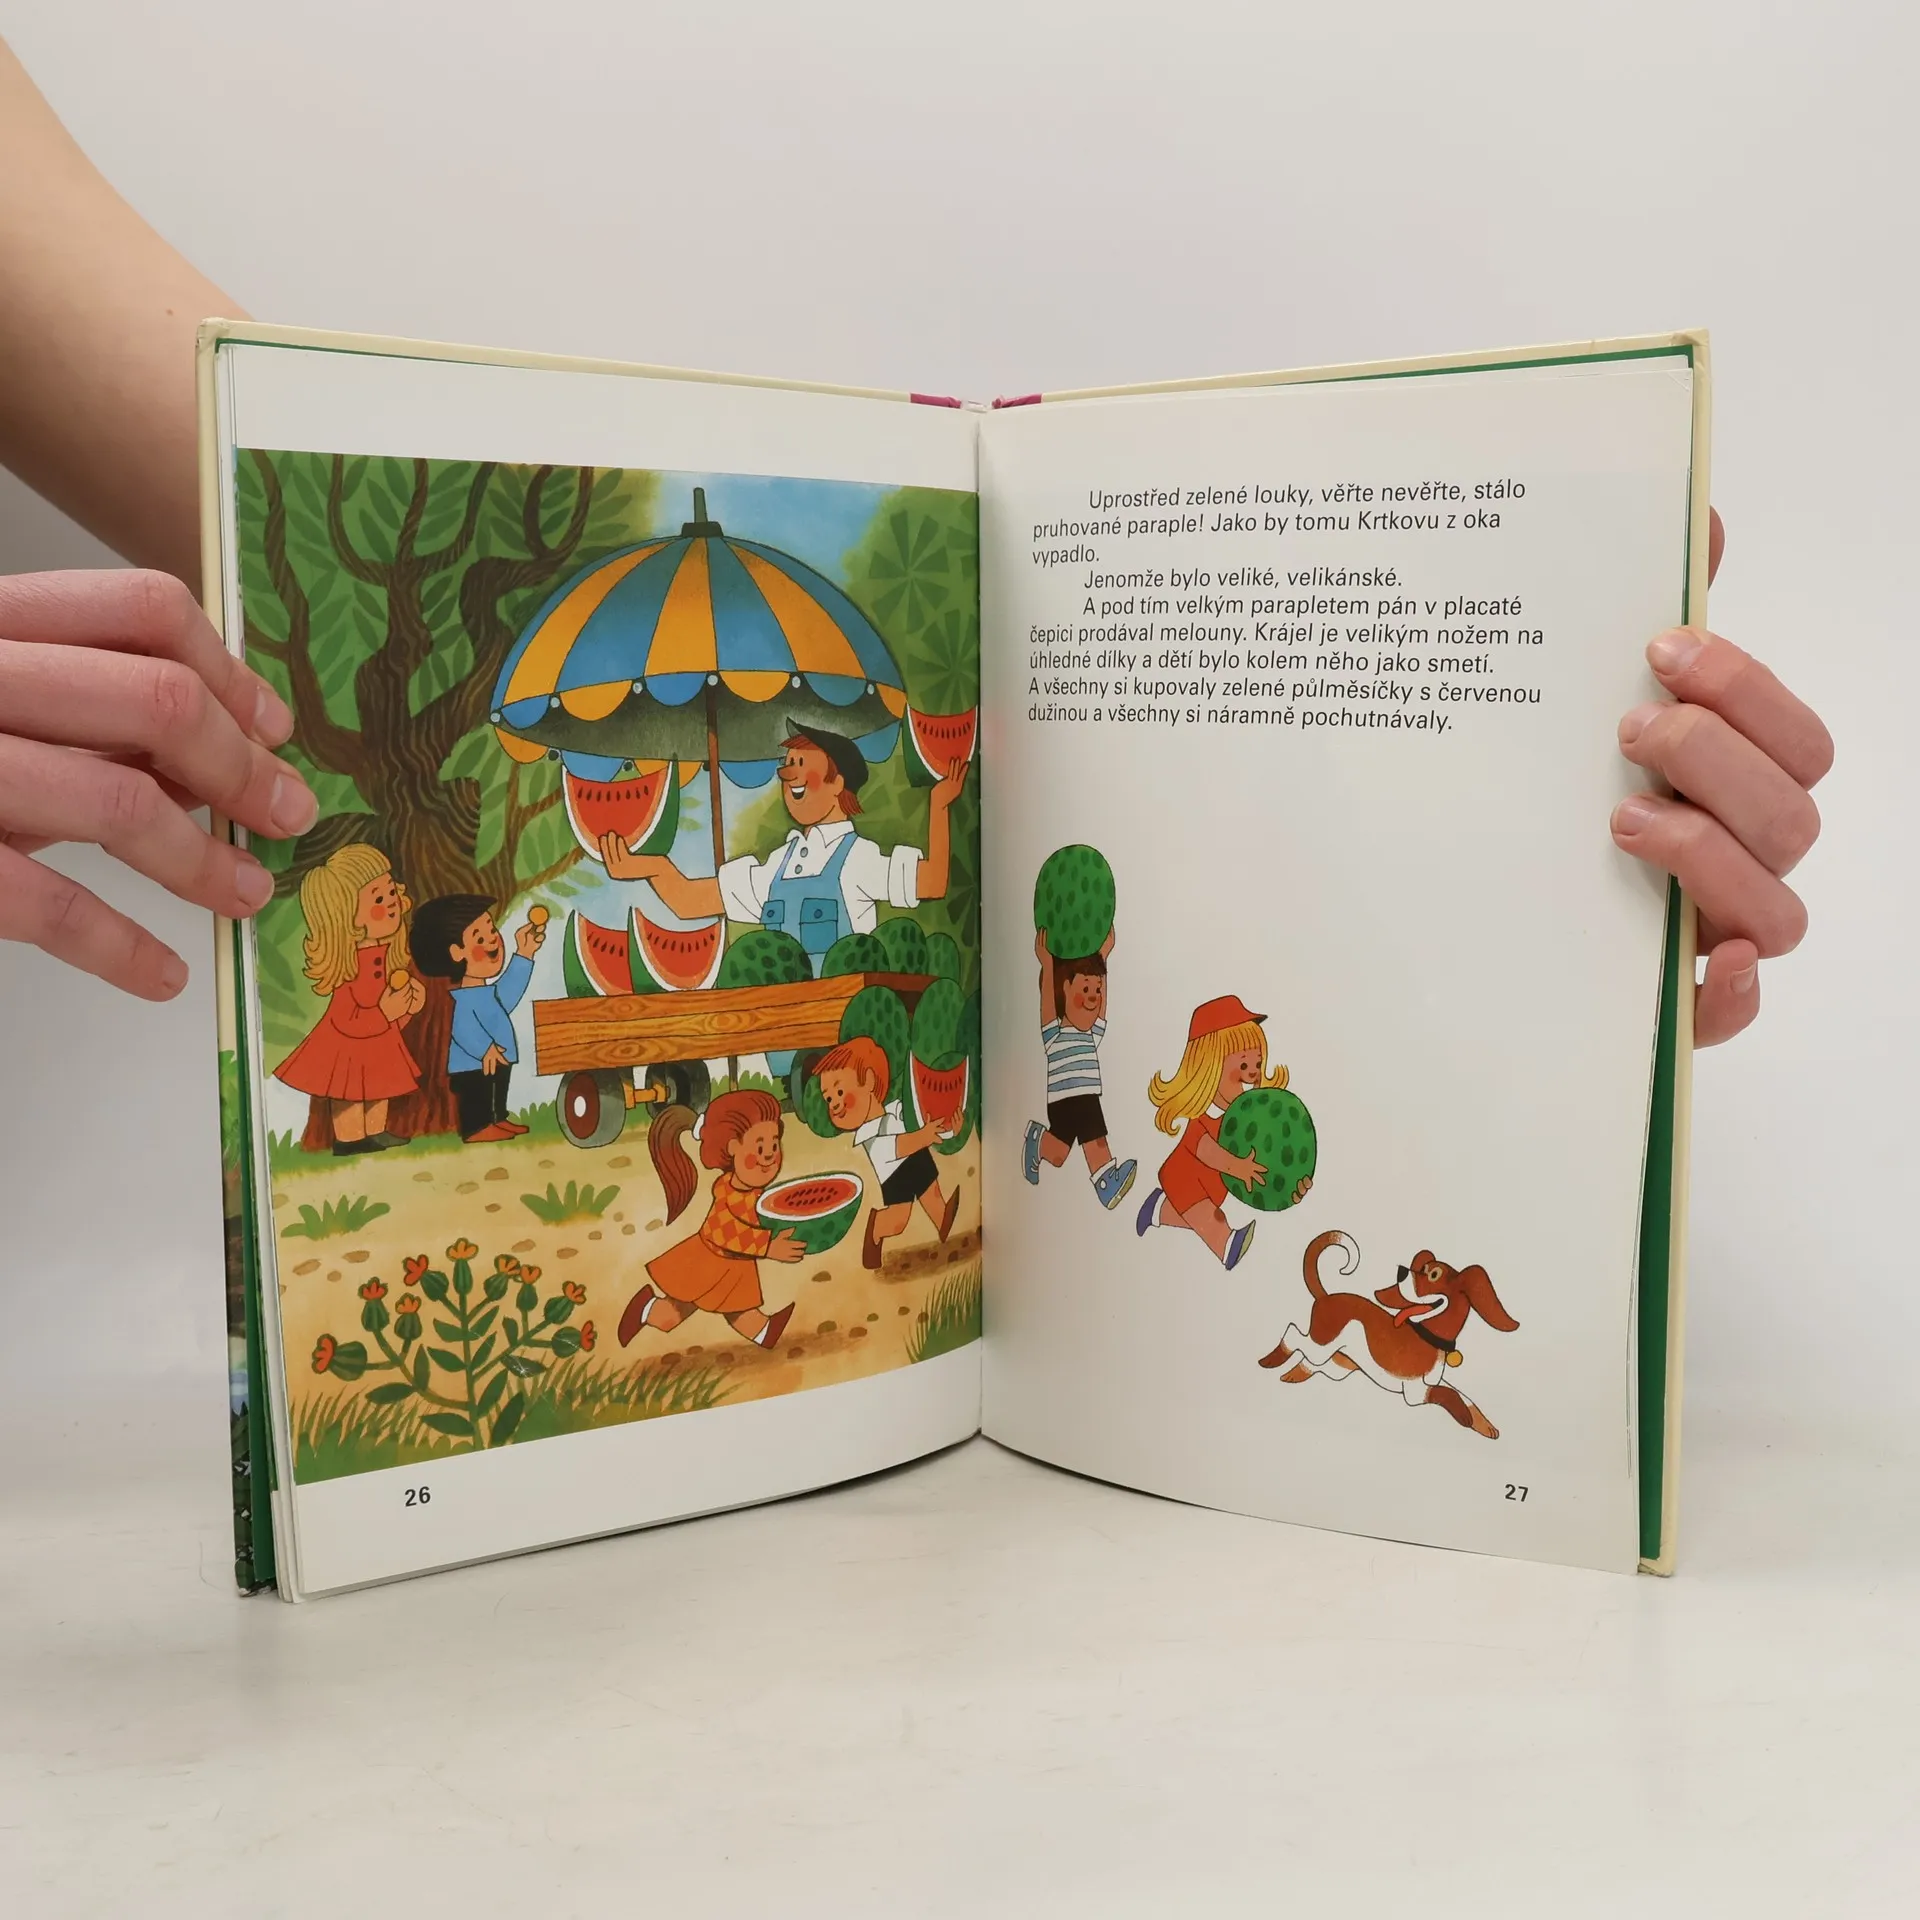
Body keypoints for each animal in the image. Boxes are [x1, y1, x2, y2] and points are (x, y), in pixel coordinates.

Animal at [1256, 1229, 1518, 1438]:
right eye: (1422, 1268)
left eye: (1433, 1274)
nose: (1401, 1271)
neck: (1427, 1335)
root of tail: (1326, 1297)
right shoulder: (1415, 1392)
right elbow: (1449, 1395)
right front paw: (1464, 1417)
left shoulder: (1433, 1382)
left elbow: (1466, 1398)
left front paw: (1484, 1426)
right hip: (1322, 1345)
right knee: (1293, 1335)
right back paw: (1270, 1361)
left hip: (1338, 1364)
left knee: (1310, 1362)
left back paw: (1291, 1375)